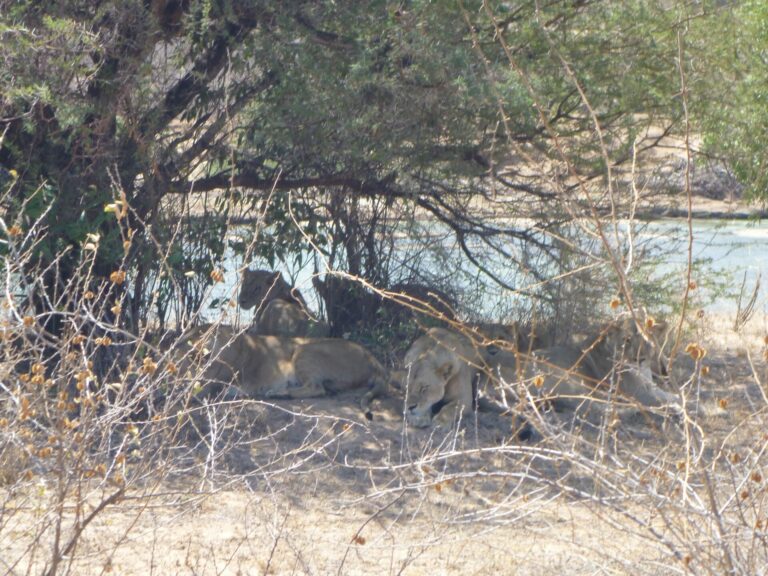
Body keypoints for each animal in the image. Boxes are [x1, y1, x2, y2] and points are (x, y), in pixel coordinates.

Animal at [177, 324, 388, 418]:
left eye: (204, 336)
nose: (194, 350)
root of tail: (372, 357)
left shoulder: (212, 386)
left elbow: (185, 395)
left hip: (305, 349)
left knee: (317, 388)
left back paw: (278, 393)